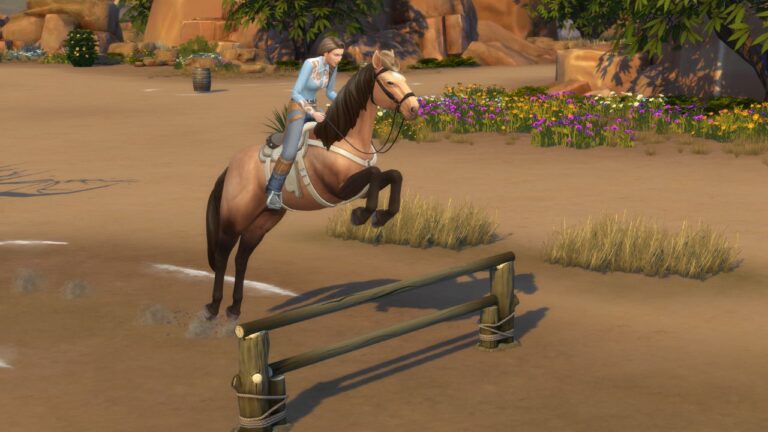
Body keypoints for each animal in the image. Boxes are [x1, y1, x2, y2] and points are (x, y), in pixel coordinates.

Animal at [203, 50, 420, 320]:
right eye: (390, 82)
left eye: (403, 79)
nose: (414, 108)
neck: (340, 139)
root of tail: (231, 167)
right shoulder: (339, 190)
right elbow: (375, 174)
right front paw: (362, 216)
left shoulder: (359, 189)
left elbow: (392, 175)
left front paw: (379, 216)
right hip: (234, 219)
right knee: (223, 255)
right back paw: (213, 307)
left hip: (263, 220)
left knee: (242, 258)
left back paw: (235, 308)